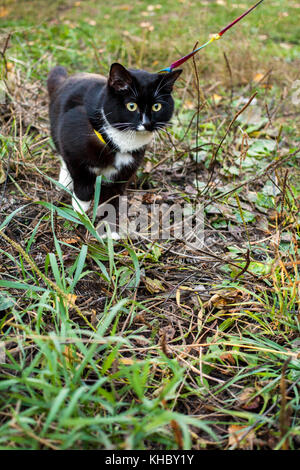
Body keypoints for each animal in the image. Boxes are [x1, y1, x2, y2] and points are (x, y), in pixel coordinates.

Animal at [48, 63, 182, 214]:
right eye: (131, 106)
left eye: (156, 106)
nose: (147, 123)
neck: (122, 141)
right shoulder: (74, 154)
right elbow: (83, 185)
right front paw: (81, 213)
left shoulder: (126, 170)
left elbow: (112, 195)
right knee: (62, 156)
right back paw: (64, 182)